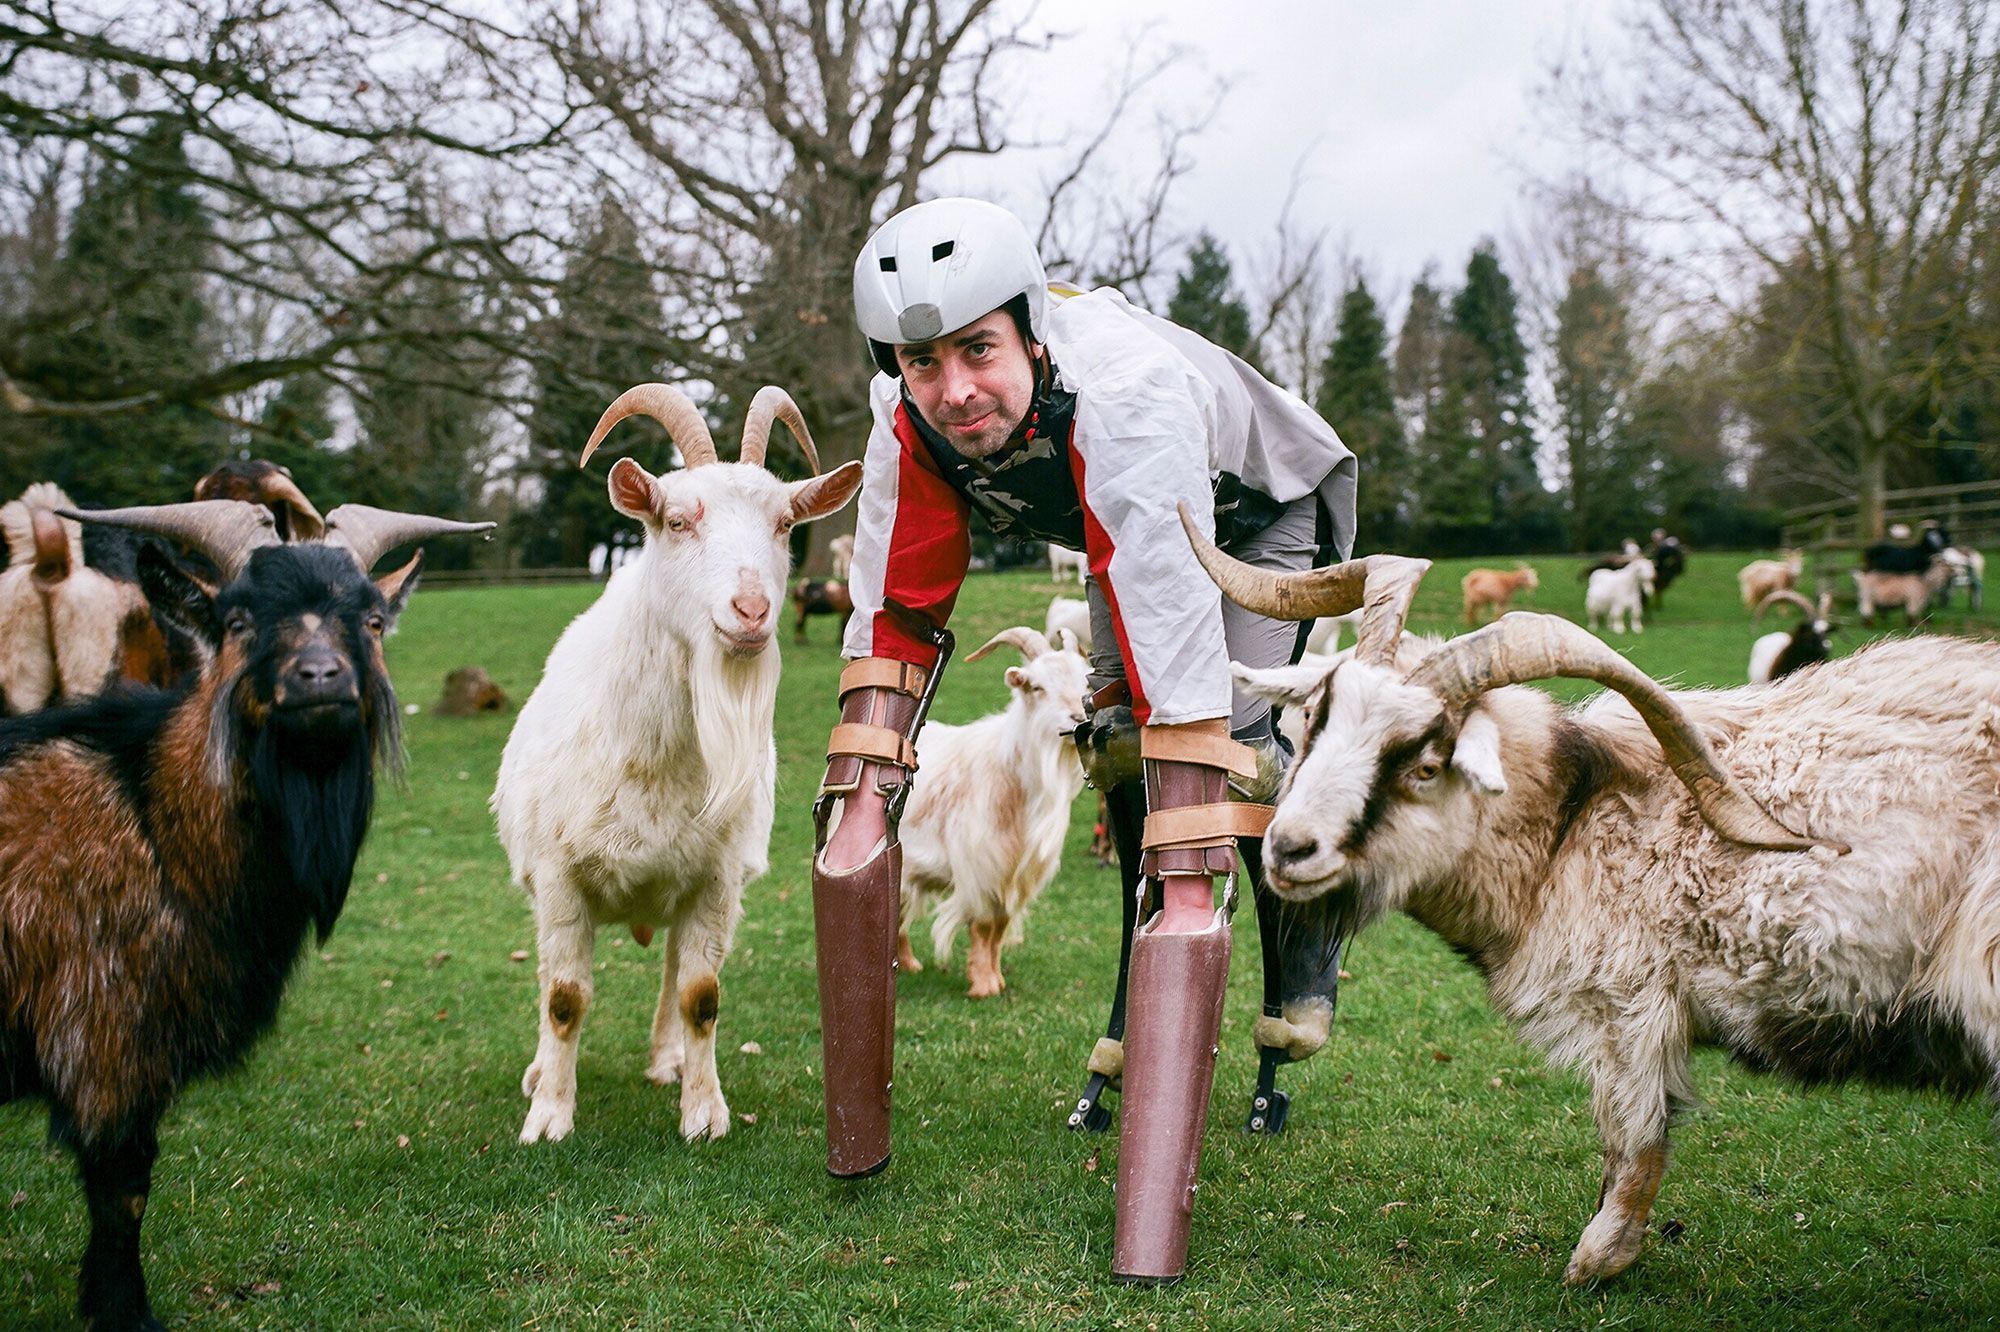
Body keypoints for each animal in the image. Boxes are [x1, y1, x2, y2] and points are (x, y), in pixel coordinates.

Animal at [0, 498, 488, 1328]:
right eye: (236, 619)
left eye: (372, 618)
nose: (319, 676)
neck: (149, 816)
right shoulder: (105, 1037)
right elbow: (123, 1195)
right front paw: (125, 1313)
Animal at [492, 382, 860, 1144]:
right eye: (677, 519)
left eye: (785, 523)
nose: (751, 610)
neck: (655, 759)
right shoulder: (558, 876)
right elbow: (564, 997)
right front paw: (550, 1115)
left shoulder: (716, 881)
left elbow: (701, 995)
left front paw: (705, 1111)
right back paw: (541, 1073)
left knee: (669, 969)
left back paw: (667, 1060)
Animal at [904, 628, 1096, 992]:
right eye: (1037, 687)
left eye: (1086, 684)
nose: (1079, 719)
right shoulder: (981, 866)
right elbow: (982, 926)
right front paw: (982, 986)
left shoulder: (1017, 873)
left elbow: (1000, 927)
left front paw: (997, 979)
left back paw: (907, 963)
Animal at [1176, 504, 2000, 1280]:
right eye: (1315, 719)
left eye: (1427, 763)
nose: (1289, 848)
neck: (1570, 826)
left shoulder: (1633, 1006)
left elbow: (1633, 1139)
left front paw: (1598, 1260)